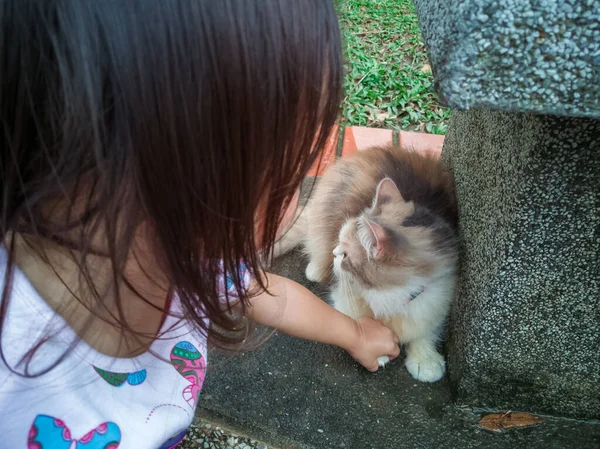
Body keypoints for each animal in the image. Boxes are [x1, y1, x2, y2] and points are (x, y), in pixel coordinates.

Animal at [276, 146, 460, 382]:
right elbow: (355, 321)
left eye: (345, 255)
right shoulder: (344, 295)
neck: (390, 297)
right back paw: (315, 268)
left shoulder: (438, 300)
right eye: (339, 243)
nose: (335, 253)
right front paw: (374, 348)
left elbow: (425, 333)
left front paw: (426, 361)